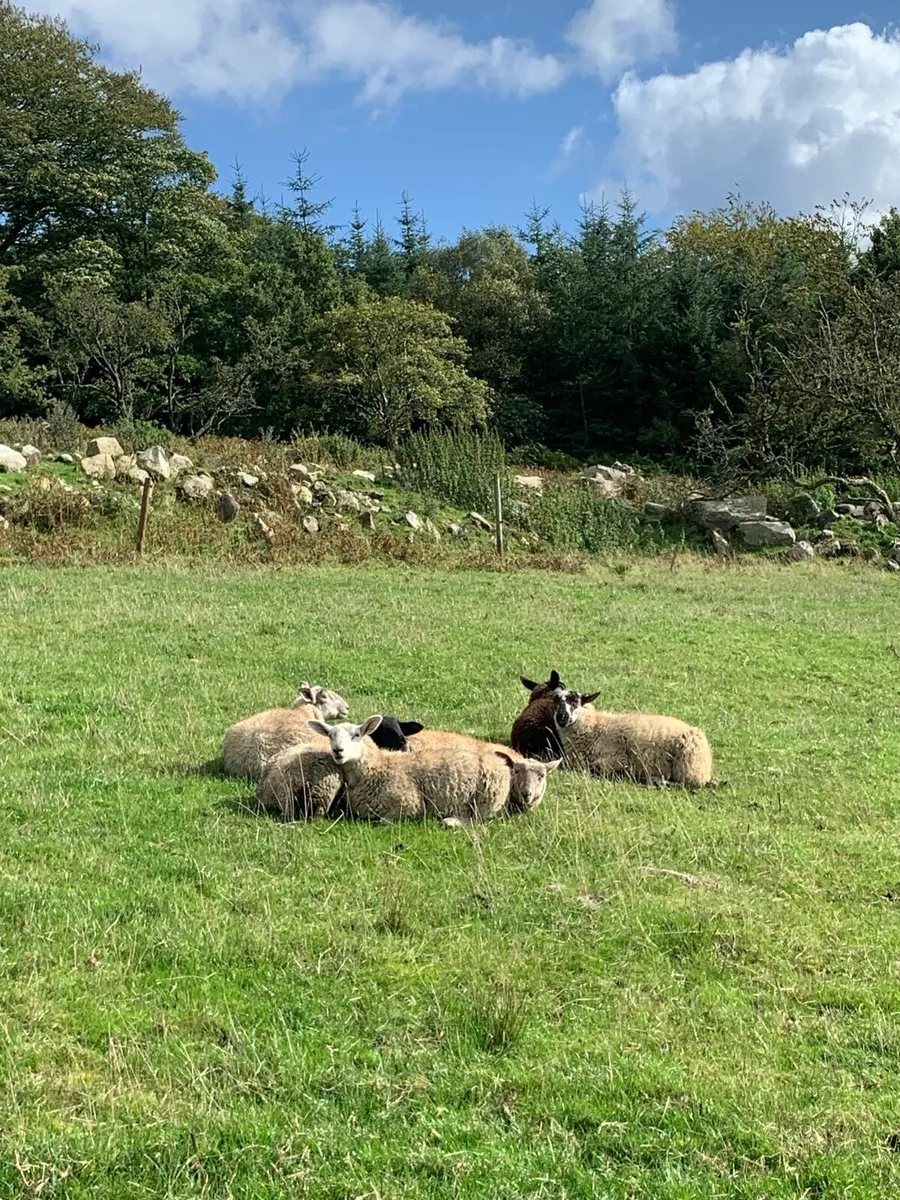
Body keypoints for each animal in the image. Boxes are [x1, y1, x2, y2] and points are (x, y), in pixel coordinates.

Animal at [309, 716, 559, 826]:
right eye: (330, 735)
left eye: (356, 735)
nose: (338, 750)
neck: (380, 767)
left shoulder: (407, 805)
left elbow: (384, 821)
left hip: (487, 800)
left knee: (478, 819)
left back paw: (450, 821)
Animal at [552, 688, 714, 789]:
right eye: (556, 701)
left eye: (575, 702)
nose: (562, 717)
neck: (594, 727)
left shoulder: (616, 759)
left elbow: (595, 768)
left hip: (689, 766)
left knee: (686, 784)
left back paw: (656, 781)